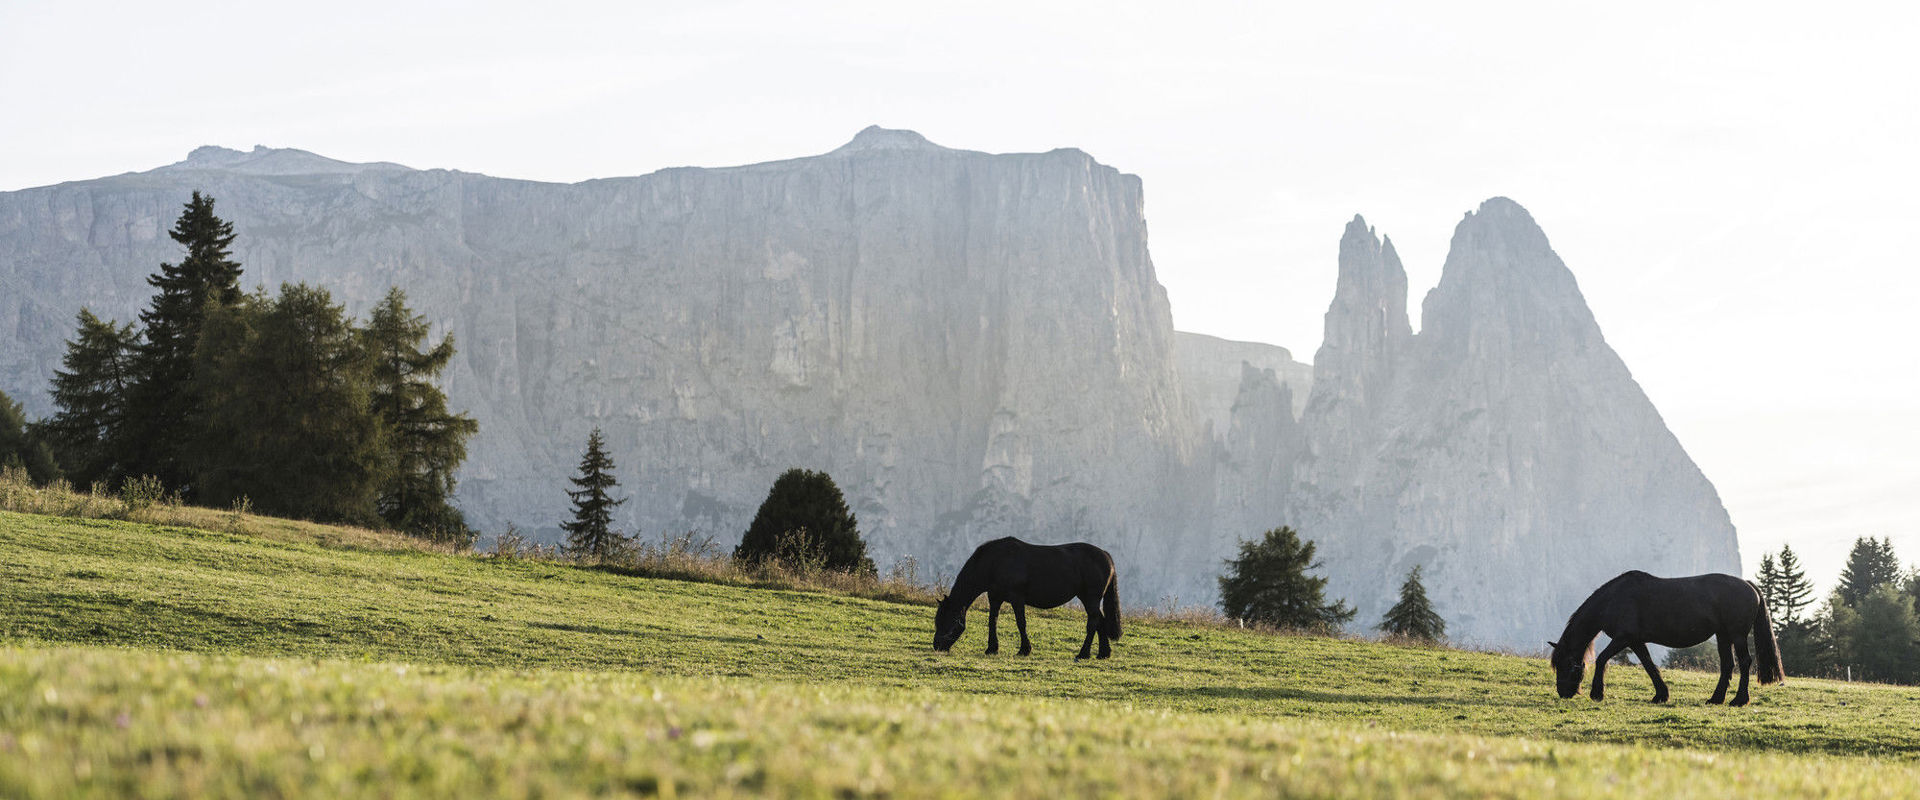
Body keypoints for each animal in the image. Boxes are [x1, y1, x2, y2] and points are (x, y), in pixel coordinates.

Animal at [932, 537, 1123, 659]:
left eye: (948, 621)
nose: (937, 646)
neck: (995, 562)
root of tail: (1106, 556)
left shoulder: (1017, 599)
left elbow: (1021, 623)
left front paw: (1024, 650)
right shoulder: (995, 598)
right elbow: (992, 621)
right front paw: (992, 648)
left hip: (1091, 598)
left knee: (1093, 623)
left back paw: (1083, 654)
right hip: (1087, 598)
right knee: (1100, 621)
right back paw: (1103, 653)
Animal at [1549, 571, 1783, 706]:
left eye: (1566, 665)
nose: (1563, 692)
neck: (1613, 600)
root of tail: (1748, 584)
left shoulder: (1623, 638)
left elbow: (1602, 659)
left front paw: (1597, 693)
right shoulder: (1636, 641)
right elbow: (1649, 665)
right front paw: (1661, 695)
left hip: (1737, 635)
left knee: (1744, 662)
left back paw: (1739, 700)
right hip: (1723, 635)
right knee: (1727, 664)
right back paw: (1716, 699)